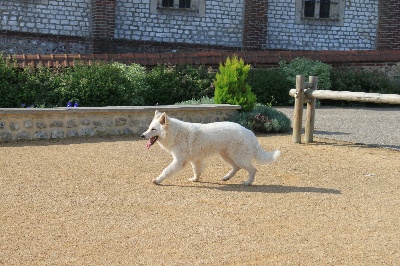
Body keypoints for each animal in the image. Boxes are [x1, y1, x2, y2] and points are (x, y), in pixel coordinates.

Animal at [141, 110, 282, 185]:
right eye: (149, 128)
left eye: (153, 129)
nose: (142, 135)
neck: (175, 133)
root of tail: (250, 133)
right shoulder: (195, 160)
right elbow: (197, 171)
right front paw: (195, 179)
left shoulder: (179, 161)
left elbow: (166, 170)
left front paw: (158, 180)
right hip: (227, 156)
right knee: (237, 168)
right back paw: (226, 177)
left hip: (238, 157)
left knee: (252, 169)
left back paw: (248, 182)